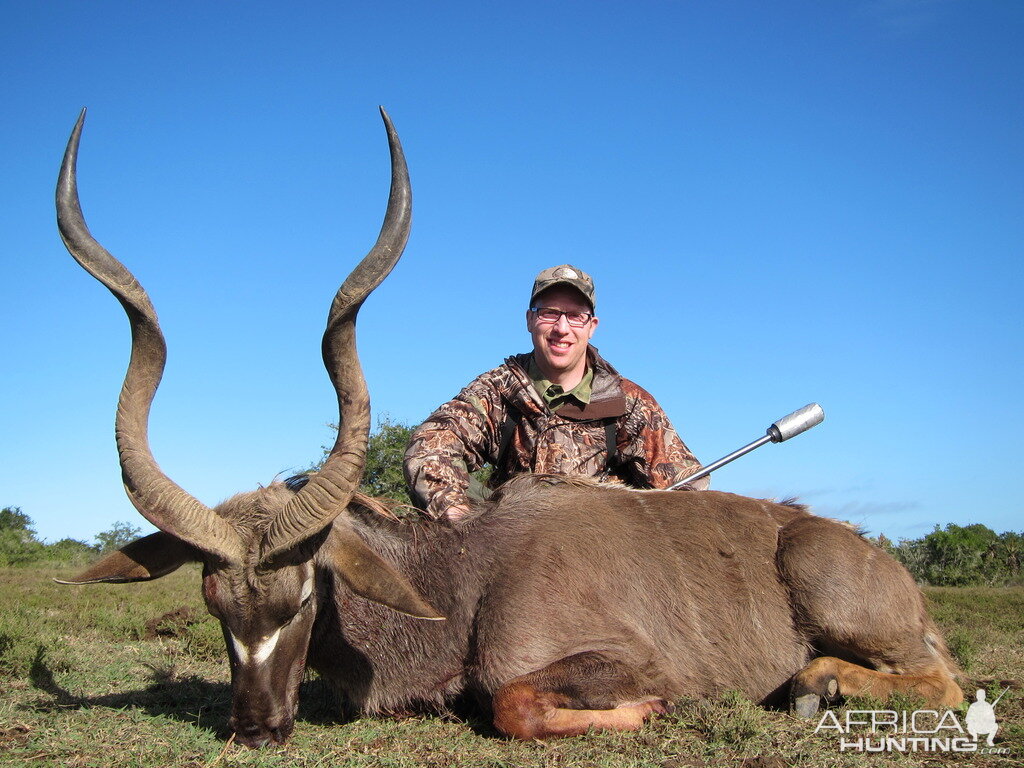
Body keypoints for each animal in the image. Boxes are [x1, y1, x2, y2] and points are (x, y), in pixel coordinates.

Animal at [59, 108, 962, 745]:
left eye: (304, 594)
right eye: (215, 602)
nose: (255, 730)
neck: (463, 575)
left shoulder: (610, 660)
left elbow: (511, 701)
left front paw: (649, 711)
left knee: (943, 678)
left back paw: (818, 685)